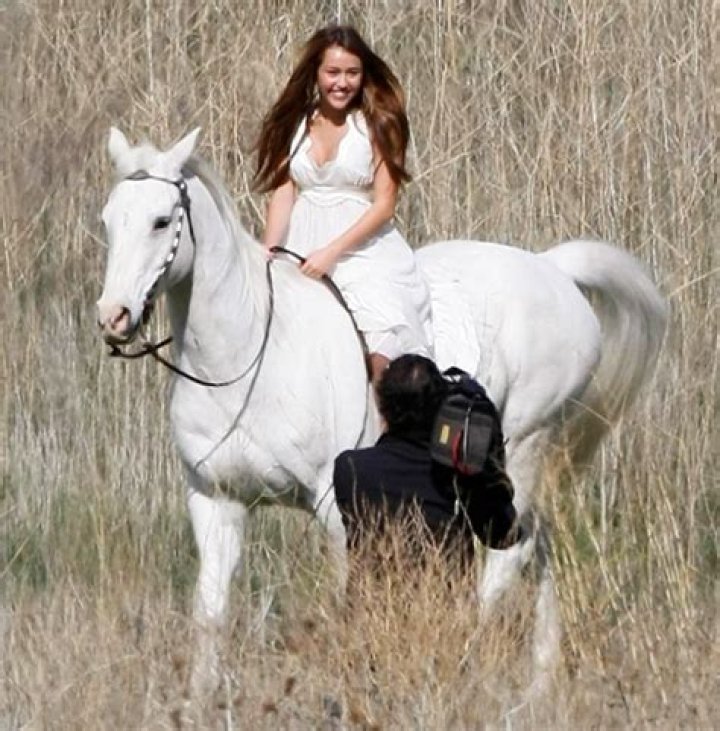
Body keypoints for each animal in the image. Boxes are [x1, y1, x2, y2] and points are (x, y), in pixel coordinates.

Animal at [97, 128, 667, 693]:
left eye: (161, 221)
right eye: (108, 220)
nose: (113, 317)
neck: (246, 356)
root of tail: (553, 269)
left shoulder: (333, 505)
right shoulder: (215, 501)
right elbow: (210, 615)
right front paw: (202, 698)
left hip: (525, 447)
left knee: (511, 555)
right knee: (538, 545)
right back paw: (539, 685)